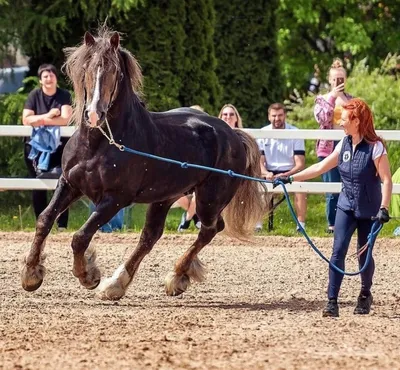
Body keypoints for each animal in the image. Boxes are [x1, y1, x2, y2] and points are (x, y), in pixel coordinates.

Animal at [19, 28, 268, 300]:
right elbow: (44, 219)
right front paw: (31, 274)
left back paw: (174, 276)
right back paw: (118, 284)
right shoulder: (69, 183)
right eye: (86, 68)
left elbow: (81, 236)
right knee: (151, 236)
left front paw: (88, 276)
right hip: (165, 197)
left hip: (209, 199)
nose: (94, 114)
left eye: (115, 72)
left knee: (209, 229)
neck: (99, 144)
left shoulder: (115, 199)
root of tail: (234, 134)